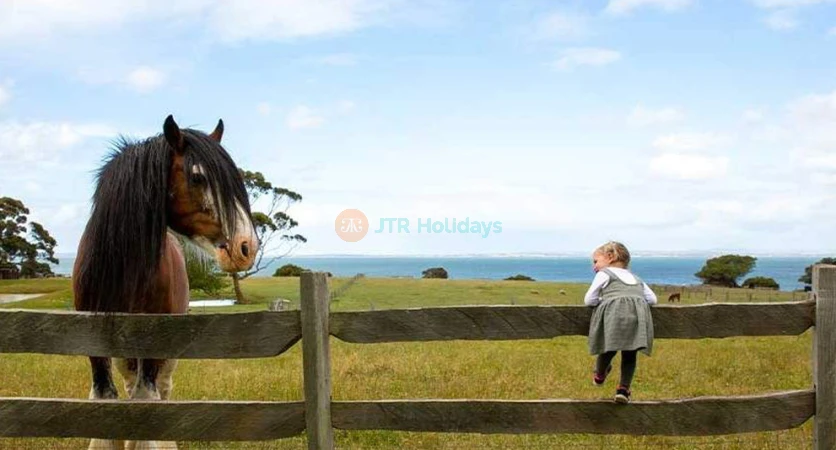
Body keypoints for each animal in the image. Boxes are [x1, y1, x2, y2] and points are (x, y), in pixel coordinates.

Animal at [74, 117, 260, 450]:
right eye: (198, 177)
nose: (246, 246)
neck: (123, 270)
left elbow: (148, 403)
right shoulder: (92, 340)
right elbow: (105, 400)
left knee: (161, 390)